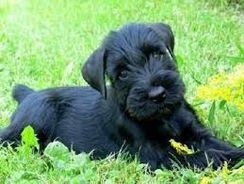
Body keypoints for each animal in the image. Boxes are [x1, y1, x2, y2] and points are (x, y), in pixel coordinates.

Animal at [0, 22, 244, 170]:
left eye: (157, 54)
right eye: (123, 73)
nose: (158, 95)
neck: (164, 117)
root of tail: (28, 94)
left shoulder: (196, 132)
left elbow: (218, 145)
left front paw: (236, 151)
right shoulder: (155, 156)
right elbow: (202, 156)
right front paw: (226, 158)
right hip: (35, 119)